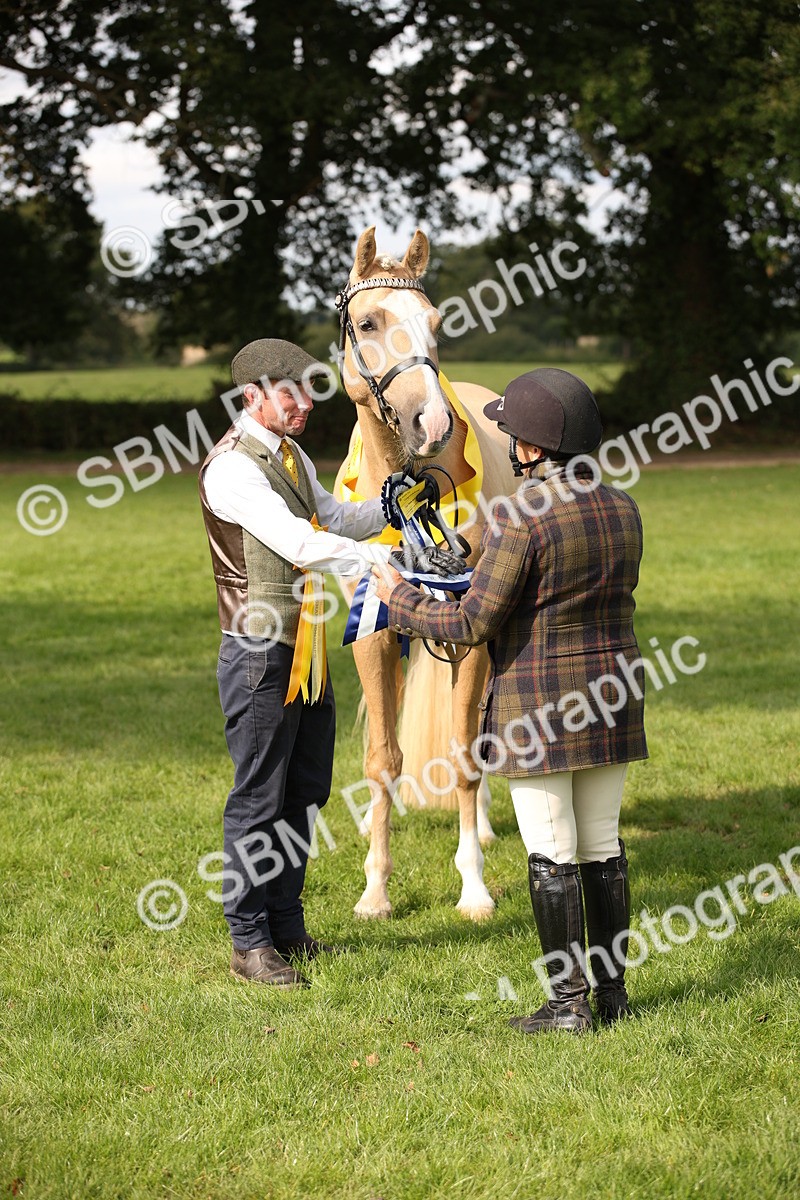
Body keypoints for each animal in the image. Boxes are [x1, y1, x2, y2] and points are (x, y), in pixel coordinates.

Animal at [333, 225, 517, 920]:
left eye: (436, 322)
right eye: (367, 321)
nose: (432, 422)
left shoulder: (475, 637)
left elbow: (466, 756)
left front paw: (474, 888)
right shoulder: (376, 635)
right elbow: (383, 759)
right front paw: (375, 889)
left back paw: (486, 827)